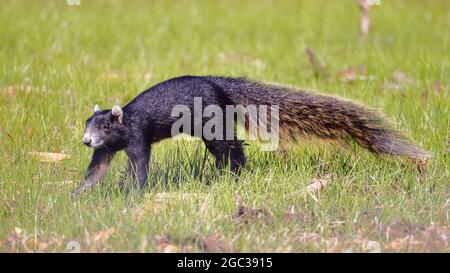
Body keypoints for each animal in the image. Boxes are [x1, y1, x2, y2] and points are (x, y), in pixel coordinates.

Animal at [69, 75, 428, 197]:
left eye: (105, 126)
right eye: (87, 126)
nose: (86, 140)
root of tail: (222, 88)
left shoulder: (137, 139)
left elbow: (139, 167)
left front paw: (131, 192)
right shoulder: (104, 151)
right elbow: (96, 170)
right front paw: (78, 193)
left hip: (214, 128)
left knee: (234, 149)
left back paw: (234, 174)